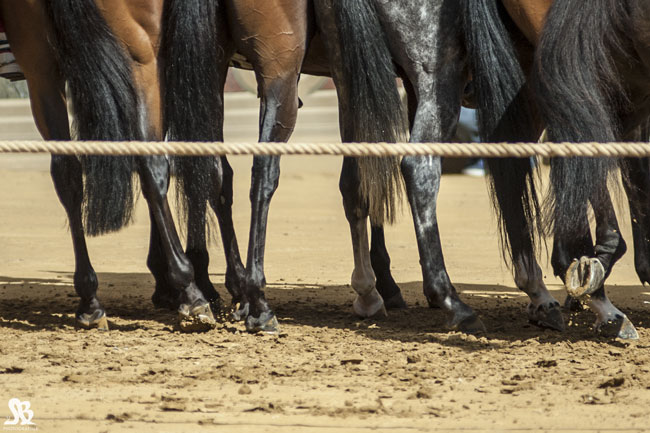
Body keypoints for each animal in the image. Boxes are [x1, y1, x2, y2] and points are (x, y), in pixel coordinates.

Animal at [0, 0, 220, 330]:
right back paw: (189, 291)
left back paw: (93, 300)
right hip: (141, 56)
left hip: (45, 64)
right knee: (150, 166)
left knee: (69, 175)